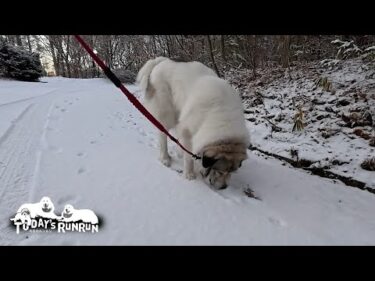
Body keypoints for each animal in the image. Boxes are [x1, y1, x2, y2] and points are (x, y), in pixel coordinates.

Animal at [137, 56, 250, 189]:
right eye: (220, 171)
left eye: (231, 172)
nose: (224, 187)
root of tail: (159, 61)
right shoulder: (188, 131)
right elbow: (189, 157)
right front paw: (189, 175)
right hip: (166, 113)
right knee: (162, 133)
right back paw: (165, 158)